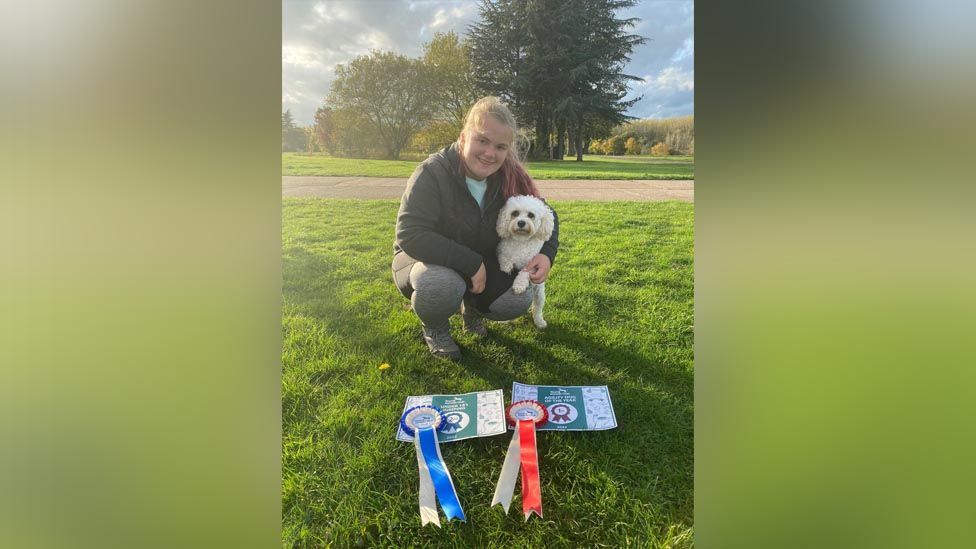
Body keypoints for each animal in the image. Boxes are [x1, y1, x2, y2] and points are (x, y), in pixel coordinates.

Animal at [500, 195, 552, 328]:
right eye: (515, 213)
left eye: (531, 215)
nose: (521, 222)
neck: (521, 240)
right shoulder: (502, 249)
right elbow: (505, 257)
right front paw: (506, 265)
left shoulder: (533, 265)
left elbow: (524, 272)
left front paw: (519, 285)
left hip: (539, 295)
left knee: (537, 309)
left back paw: (540, 322)